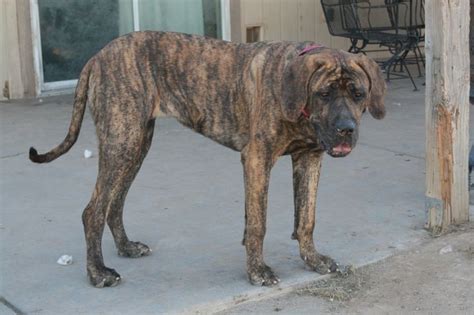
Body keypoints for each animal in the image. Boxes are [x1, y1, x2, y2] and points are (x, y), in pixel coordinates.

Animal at [28, 31, 386, 288]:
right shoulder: (257, 159)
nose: (346, 129)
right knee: (93, 211)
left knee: (114, 204)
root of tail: (97, 56)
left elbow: (306, 218)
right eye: (324, 94)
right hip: (122, 142)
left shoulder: (309, 158)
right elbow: (258, 223)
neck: (295, 99)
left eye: (358, 94)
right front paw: (257, 271)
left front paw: (312, 260)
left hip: (136, 144)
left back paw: (126, 247)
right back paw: (98, 273)